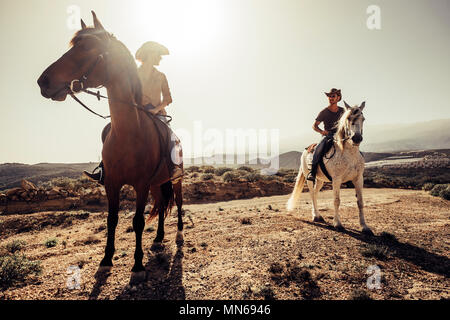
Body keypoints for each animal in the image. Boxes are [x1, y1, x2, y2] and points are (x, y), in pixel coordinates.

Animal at [37, 11, 183, 284]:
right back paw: (158, 237)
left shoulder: (141, 185)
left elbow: (137, 221)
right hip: (158, 183)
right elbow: (112, 220)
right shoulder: (113, 183)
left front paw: (137, 266)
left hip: (175, 180)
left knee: (177, 203)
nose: (43, 81)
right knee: (161, 204)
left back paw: (178, 233)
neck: (129, 133)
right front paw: (106, 260)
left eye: (85, 47)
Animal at [288, 102, 372, 235]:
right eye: (348, 118)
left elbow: (360, 202)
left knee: (315, 193)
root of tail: (306, 150)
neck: (348, 153)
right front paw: (338, 224)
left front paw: (364, 226)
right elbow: (336, 200)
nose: (357, 138)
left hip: (320, 180)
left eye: (363, 119)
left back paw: (317, 215)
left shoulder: (358, 179)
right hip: (309, 177)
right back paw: (315, 216)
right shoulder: (336, 180)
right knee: (312, 193)